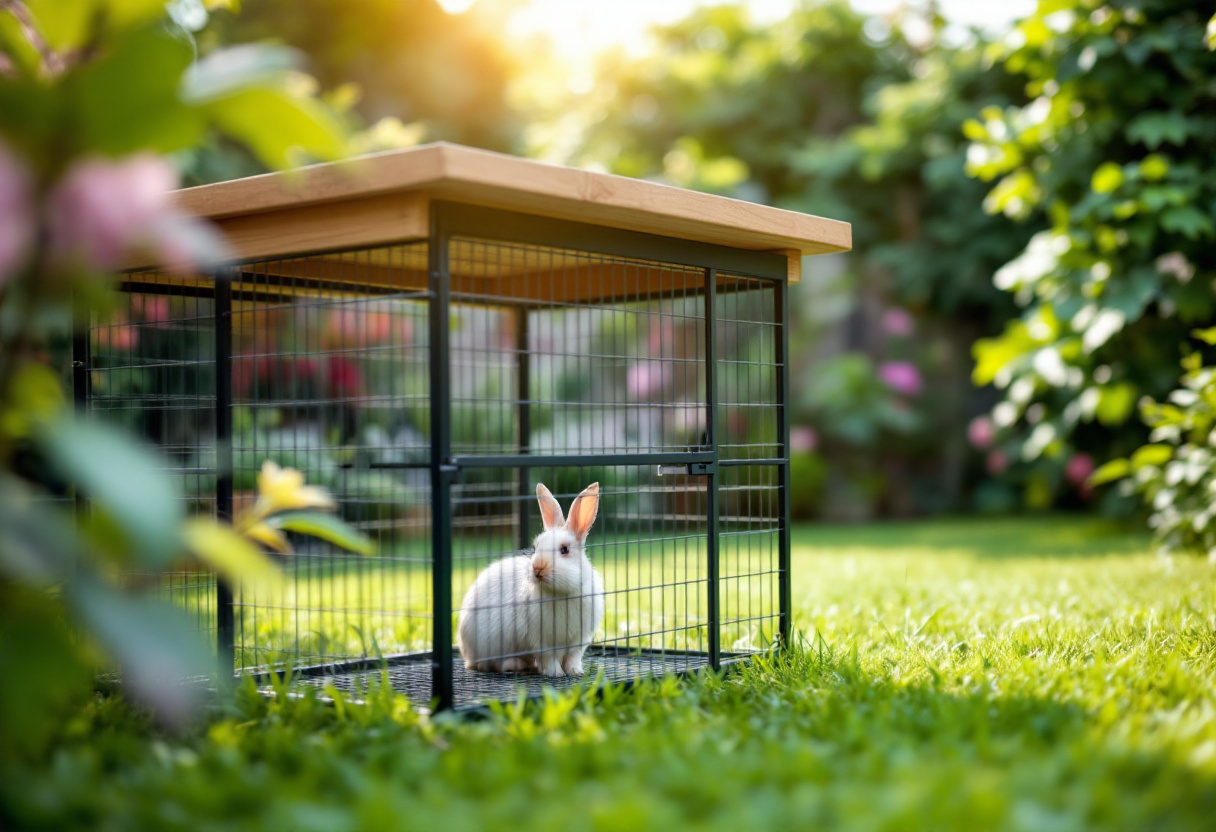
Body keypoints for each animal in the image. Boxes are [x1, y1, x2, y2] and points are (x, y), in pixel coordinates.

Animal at [457, 481, 605, 676]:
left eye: (564, 549)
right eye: (535, 548)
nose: (538, 568)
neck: (560, 593)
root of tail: (467, 653)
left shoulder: (577, 640)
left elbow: (573, 657)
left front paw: (575, 672)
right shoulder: (541, 640)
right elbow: (549, 658)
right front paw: (555, 673)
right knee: (490, 664)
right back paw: (515, 665)